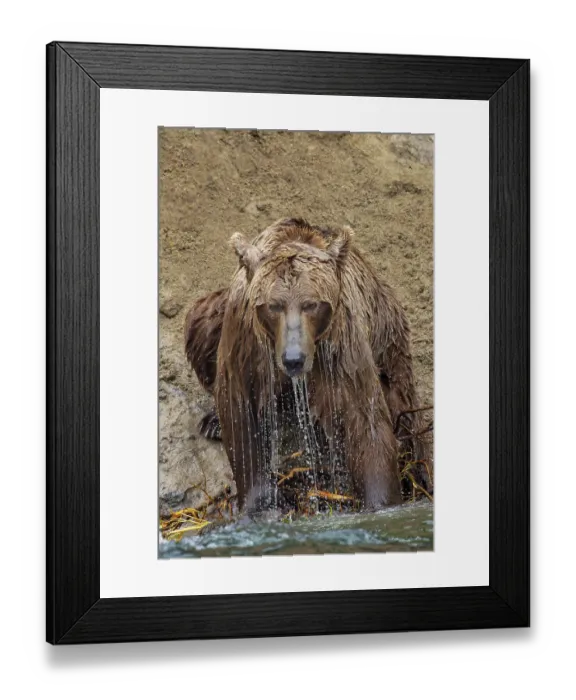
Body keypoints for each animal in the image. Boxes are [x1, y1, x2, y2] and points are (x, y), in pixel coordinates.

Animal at [185, 218, 430, 513]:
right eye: (274, 305)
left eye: (311, 304)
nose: (294, 359)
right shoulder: (245, 343)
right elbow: (240, 414)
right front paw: (259, 502)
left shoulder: (339, 344)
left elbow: (365, 420)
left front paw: (381, 501)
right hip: (216, 316)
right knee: (201, 319)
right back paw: (212, 423)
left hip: (388, 339)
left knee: (403, 406)